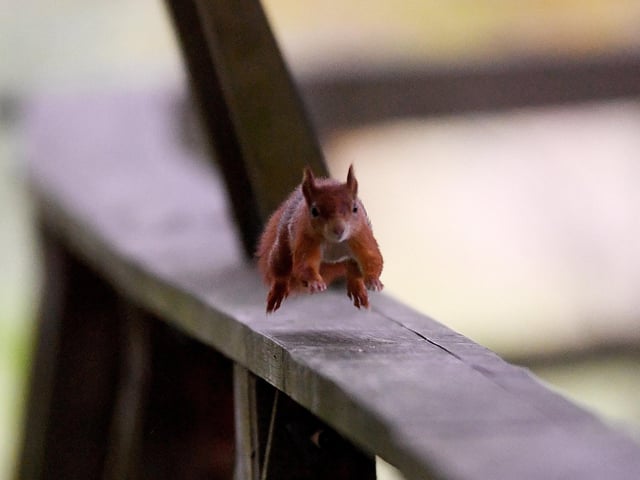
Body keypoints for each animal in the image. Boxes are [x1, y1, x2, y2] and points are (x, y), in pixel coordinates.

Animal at [256, 165, 383, 313]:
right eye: (314, 211)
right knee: (280, 270)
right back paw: (278, 291)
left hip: (351, 259)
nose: (339, 230)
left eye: (355, 208)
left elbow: (372, 258)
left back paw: (357, 289)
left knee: (354, 273)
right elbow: (304, 264)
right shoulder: (307, 239)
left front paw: (374, 280)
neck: (334, 243)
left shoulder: (360, 236)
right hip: (283, 245)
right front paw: (315, 282)